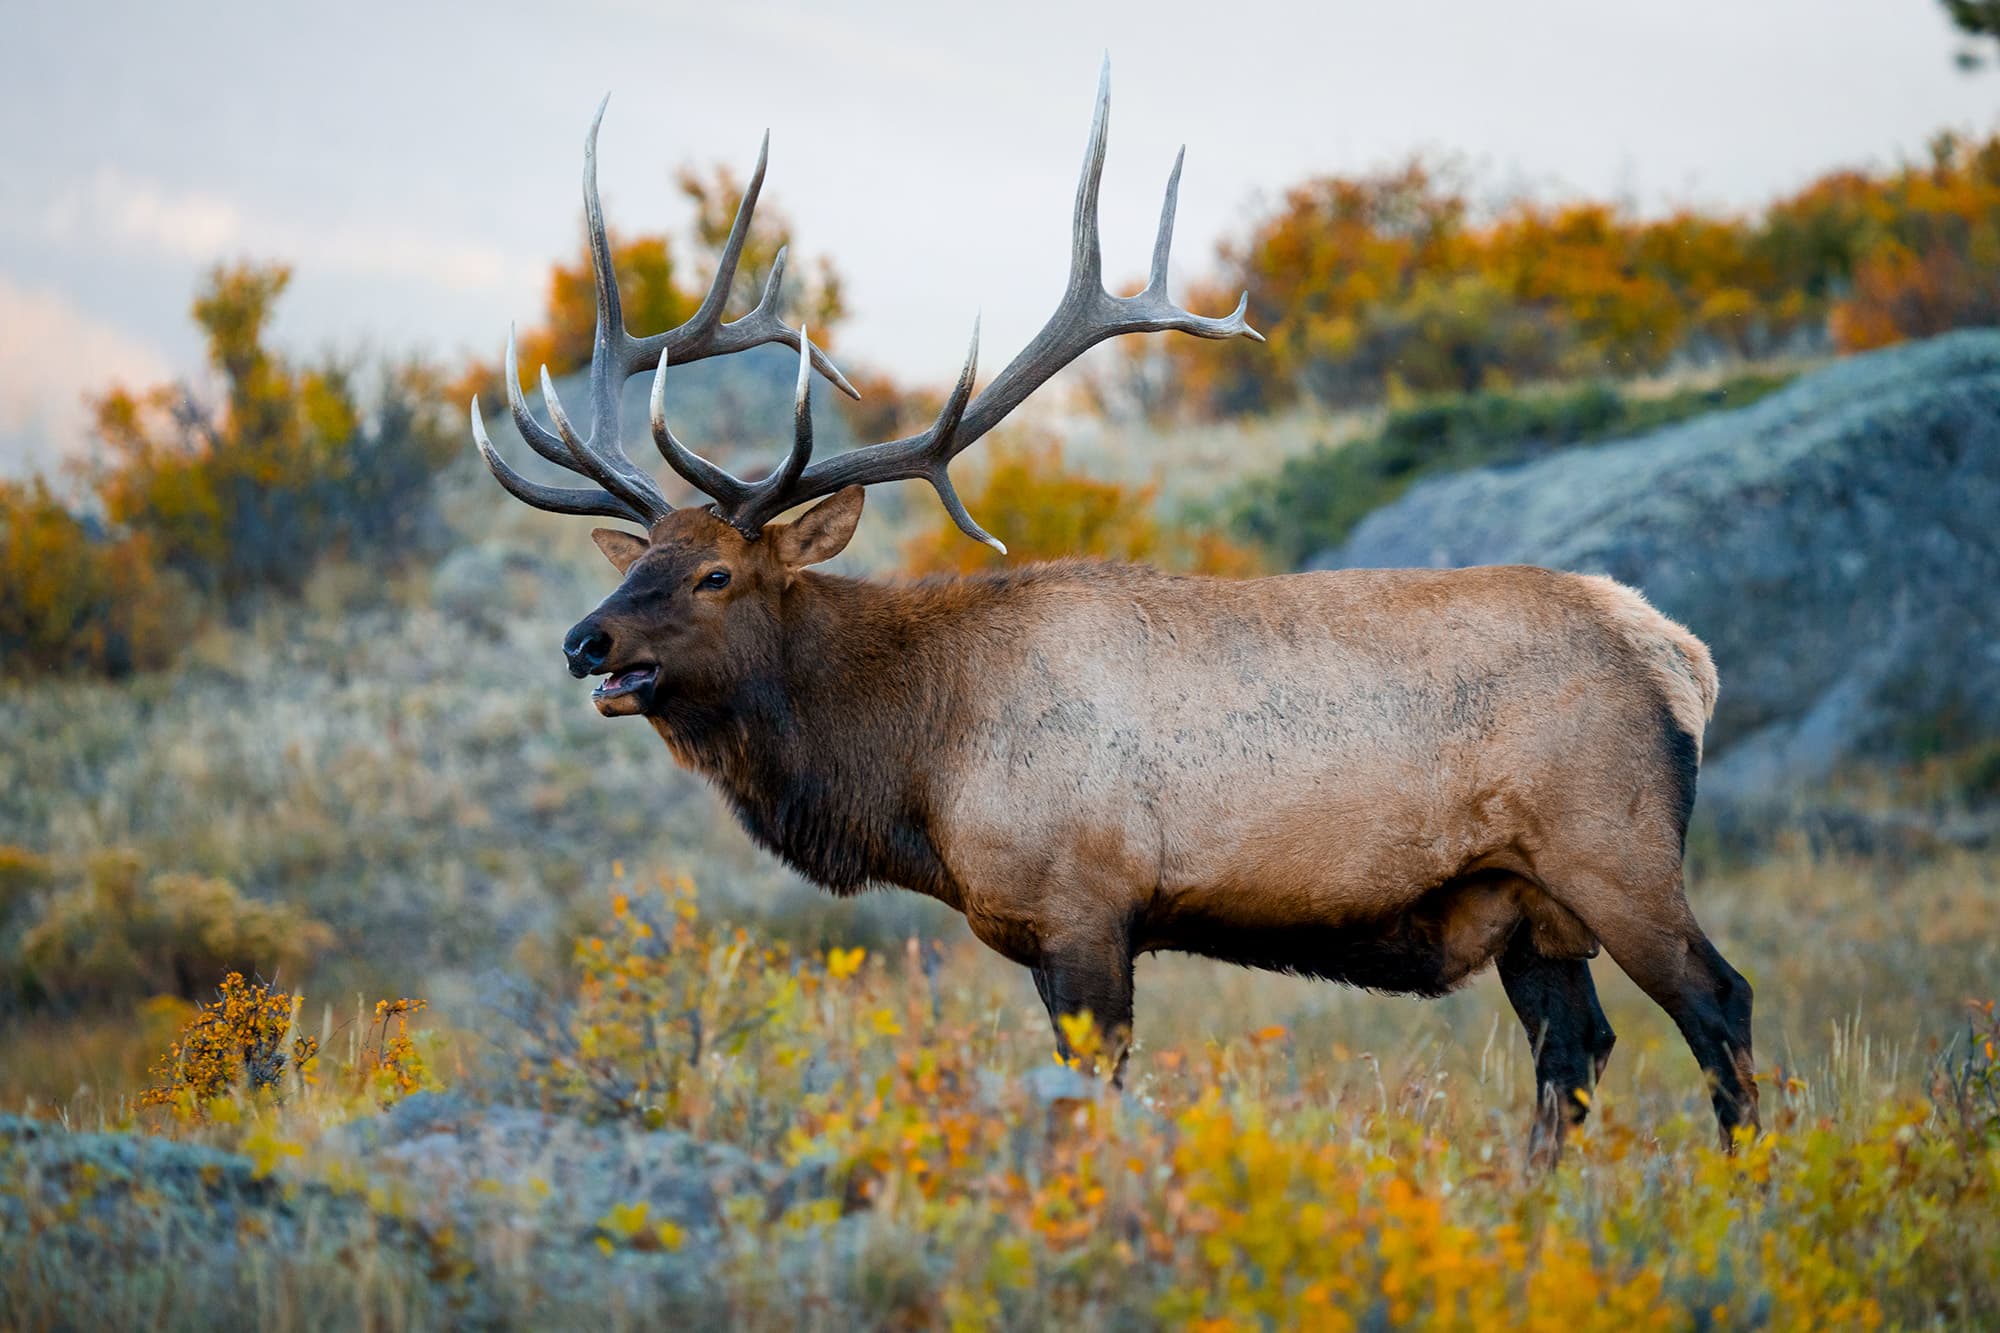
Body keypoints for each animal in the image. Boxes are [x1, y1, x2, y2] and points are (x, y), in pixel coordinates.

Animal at [470, 65, 1758, 1164]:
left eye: (715, 577)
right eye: (641, 558)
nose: (585, 641)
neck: (918, 757)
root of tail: (1682, 657)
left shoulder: (1084, 905)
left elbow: (1091, 1093)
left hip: (1611, 846)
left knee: (1716, 1003)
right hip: (1527, 902)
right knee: (1572, 1048)